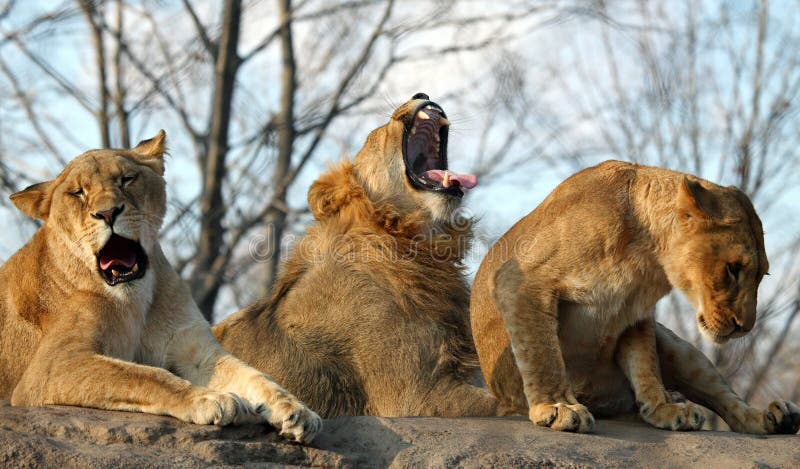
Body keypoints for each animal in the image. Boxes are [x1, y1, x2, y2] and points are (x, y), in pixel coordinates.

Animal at [0, 131, 321, 443]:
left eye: (126, 179)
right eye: (78, 193)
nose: (108, 213)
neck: (134, 299)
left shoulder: (195, 352)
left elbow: (255, 376)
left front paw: (297, 411)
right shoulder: (50, 367)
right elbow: (143, 376)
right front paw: (210, 399)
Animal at [470, 160, 800, 434]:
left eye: (763, 275)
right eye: (733, 269)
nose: (745, 327)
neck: (646, 258)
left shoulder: (635, 316)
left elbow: (645, 366)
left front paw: (664, 407)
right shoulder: (522, 279)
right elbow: (542, 353)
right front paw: (558, 406)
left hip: (680, 349)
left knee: (728, 403)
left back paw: (772, 417)